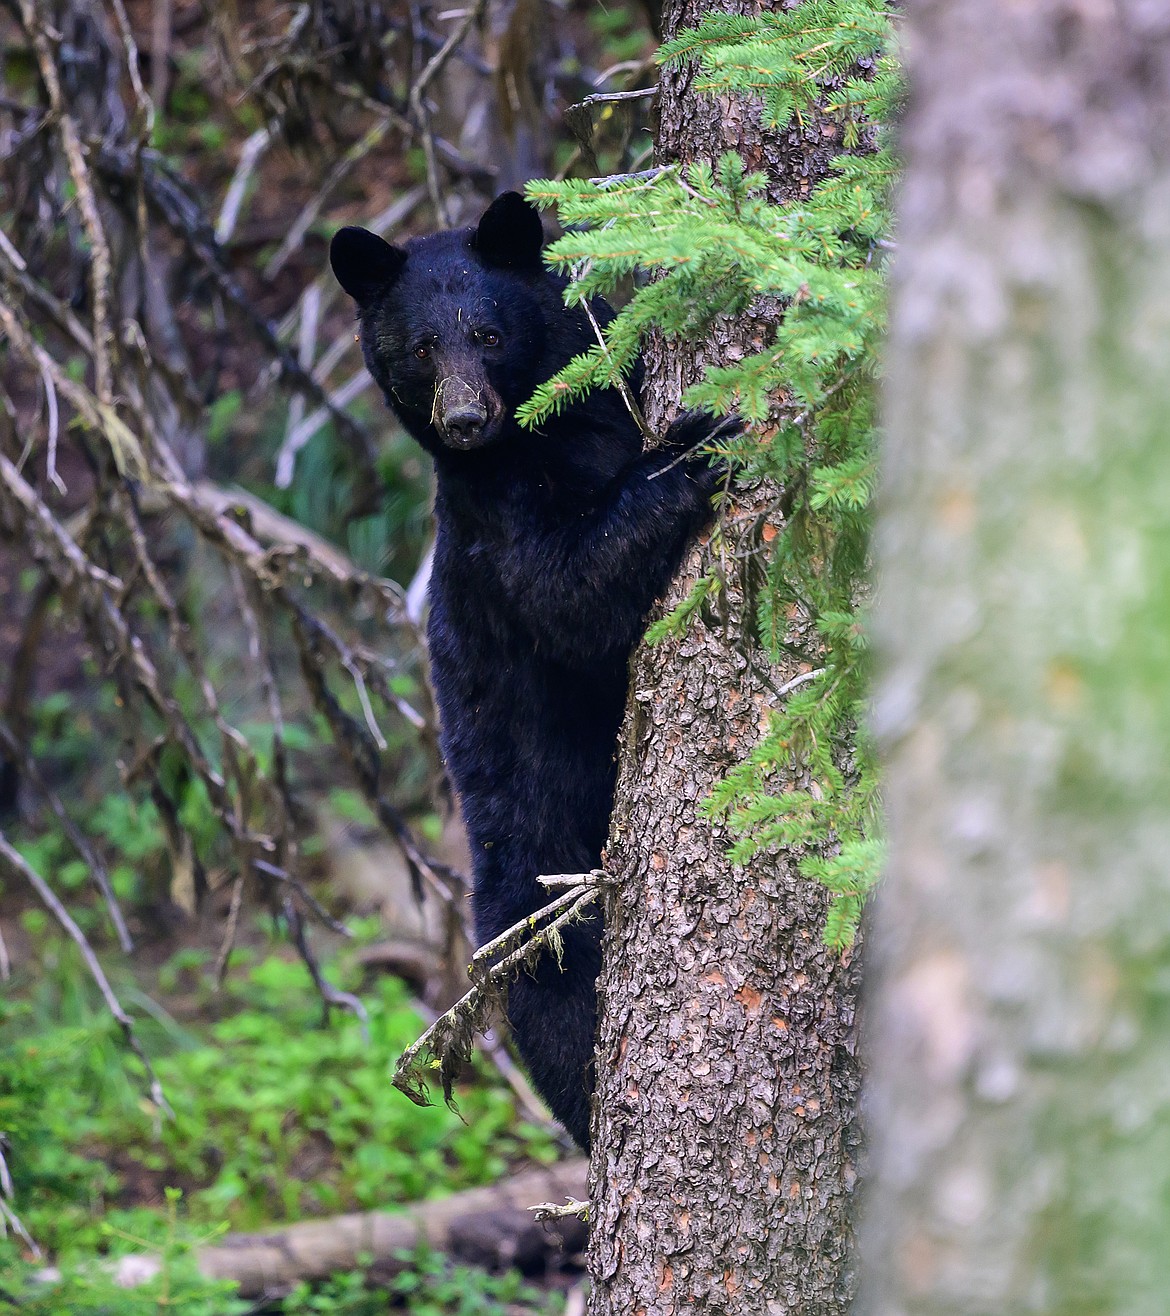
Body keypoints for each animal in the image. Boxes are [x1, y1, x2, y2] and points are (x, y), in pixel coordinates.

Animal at [330, 190, 731, 1147]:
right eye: (419, 348)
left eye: (488, 332)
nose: (464, 420)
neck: (552, 434)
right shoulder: (492, 522)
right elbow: (568, 594)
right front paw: (695, 442)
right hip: (537, 895)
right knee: (561, 1016)